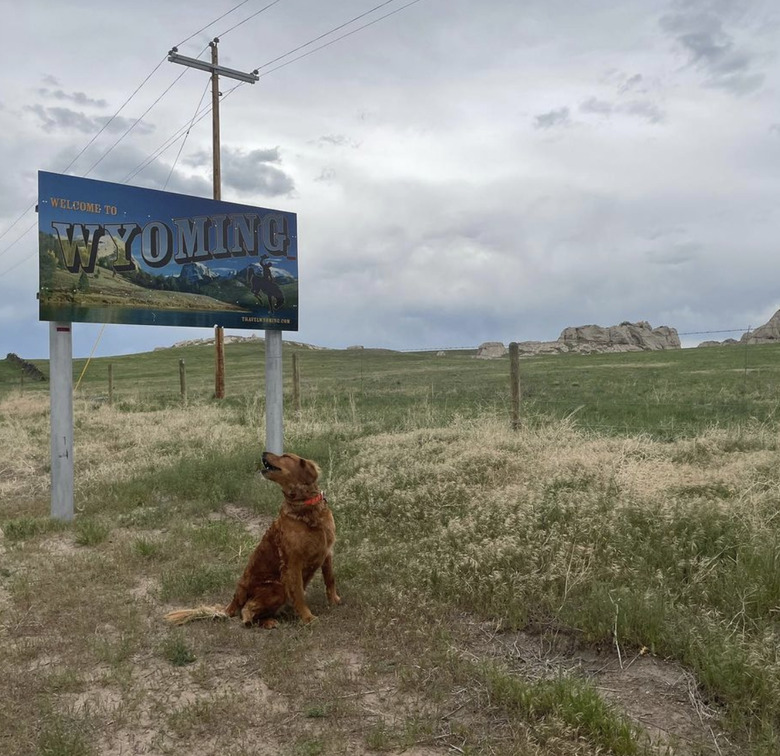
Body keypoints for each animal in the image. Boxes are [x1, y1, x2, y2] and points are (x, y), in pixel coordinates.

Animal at [166, 452, 340, 628]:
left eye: (285, 456)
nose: (263, 452)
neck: (305, 507)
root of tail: (234, 601)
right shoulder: (292, 563)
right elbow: (298, 594)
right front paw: (307, 617)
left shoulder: (327, 551)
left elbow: (330, 579)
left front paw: (334, 600)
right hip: (277, 588)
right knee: (246, 613)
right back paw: (268, 622)